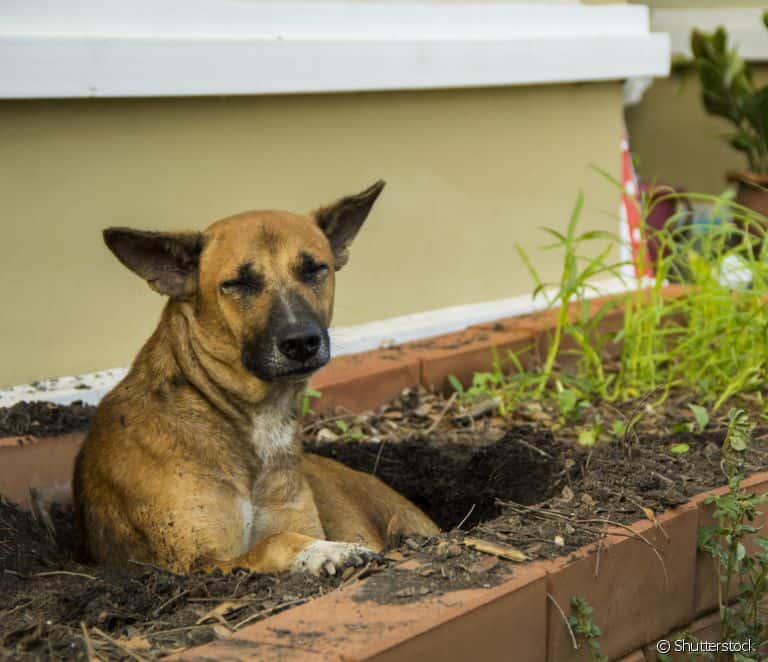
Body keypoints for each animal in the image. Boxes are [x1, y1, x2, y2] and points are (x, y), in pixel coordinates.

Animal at [76, 182, 444, 576]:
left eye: (315, 269)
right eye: (238, 283)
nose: (301, 342)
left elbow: (283, 532)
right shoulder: (198, 564)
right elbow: (274, 542)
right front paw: (325, 552)